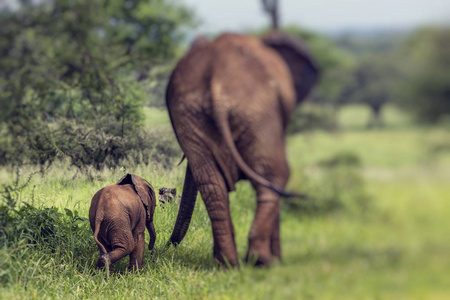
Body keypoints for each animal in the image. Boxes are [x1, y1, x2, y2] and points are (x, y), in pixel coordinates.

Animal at [166, 32, 320, 268]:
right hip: (259, 112)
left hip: (191, 114)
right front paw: (278, 260)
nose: (167, 245)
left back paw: (227, 264)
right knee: (274, 176)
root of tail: (217, 82)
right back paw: (261, 261)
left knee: (213, 185)